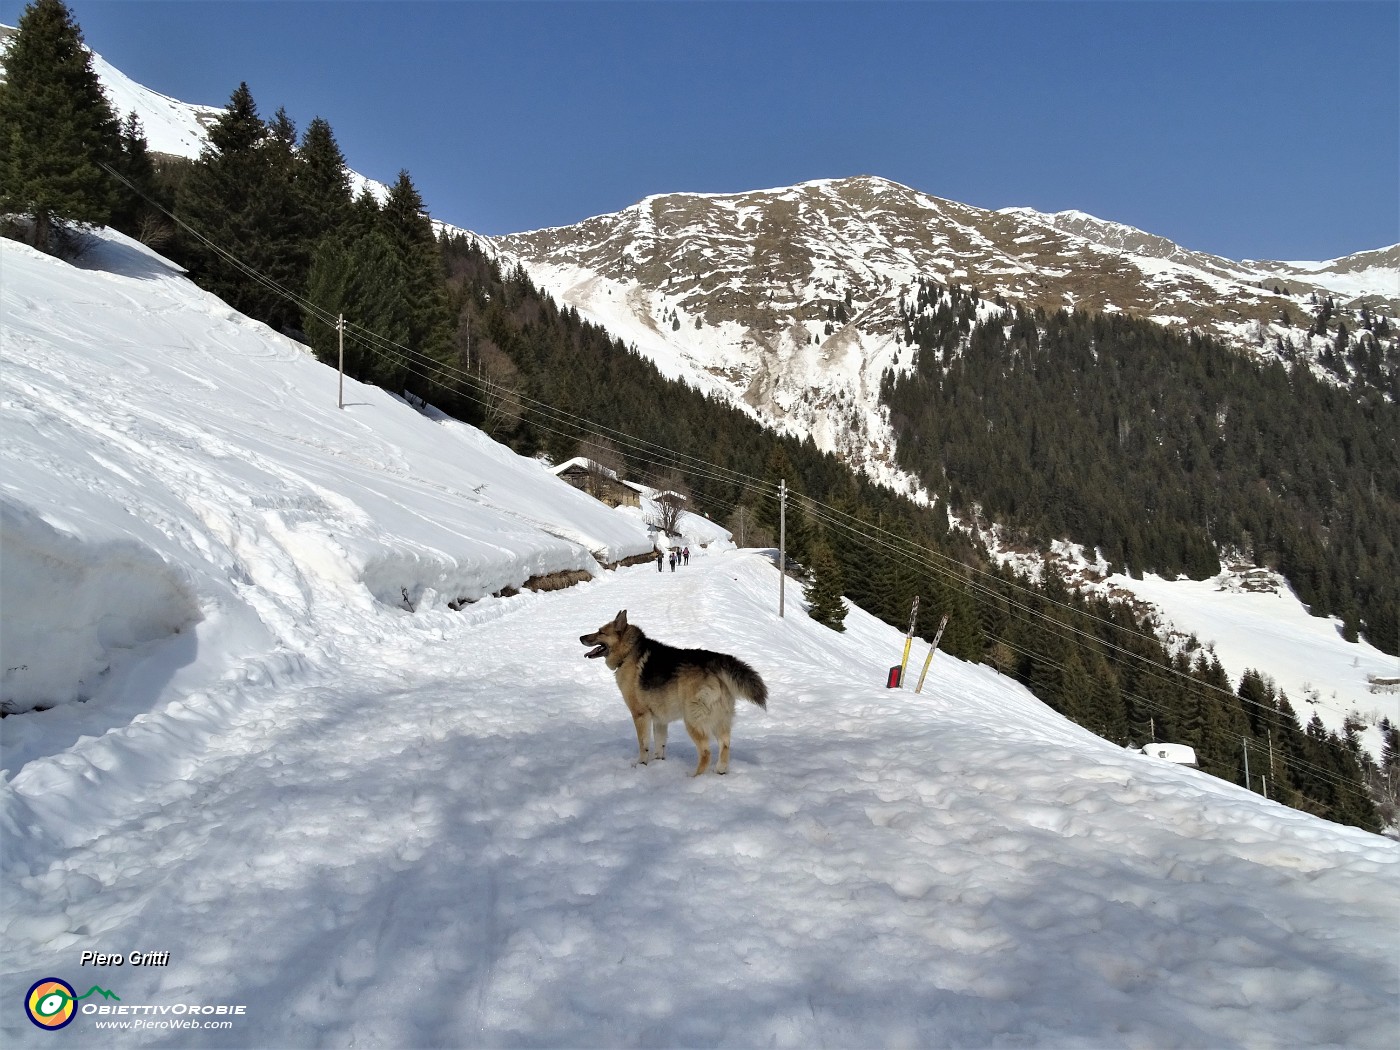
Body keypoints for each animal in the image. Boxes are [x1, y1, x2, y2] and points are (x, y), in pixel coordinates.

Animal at [585, 613, 772, 778]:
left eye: (600, 632)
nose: (581, 637)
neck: (629, 652)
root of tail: (714, 661)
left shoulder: (640, 715)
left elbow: (643, 745)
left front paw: (641, 765)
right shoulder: (659, 720)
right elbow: (660, 746)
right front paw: (658, 764)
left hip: (692, 721)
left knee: (706, 752)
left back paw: (694, 777)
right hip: (719, 720)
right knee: (725, 746)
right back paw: (720, 771)